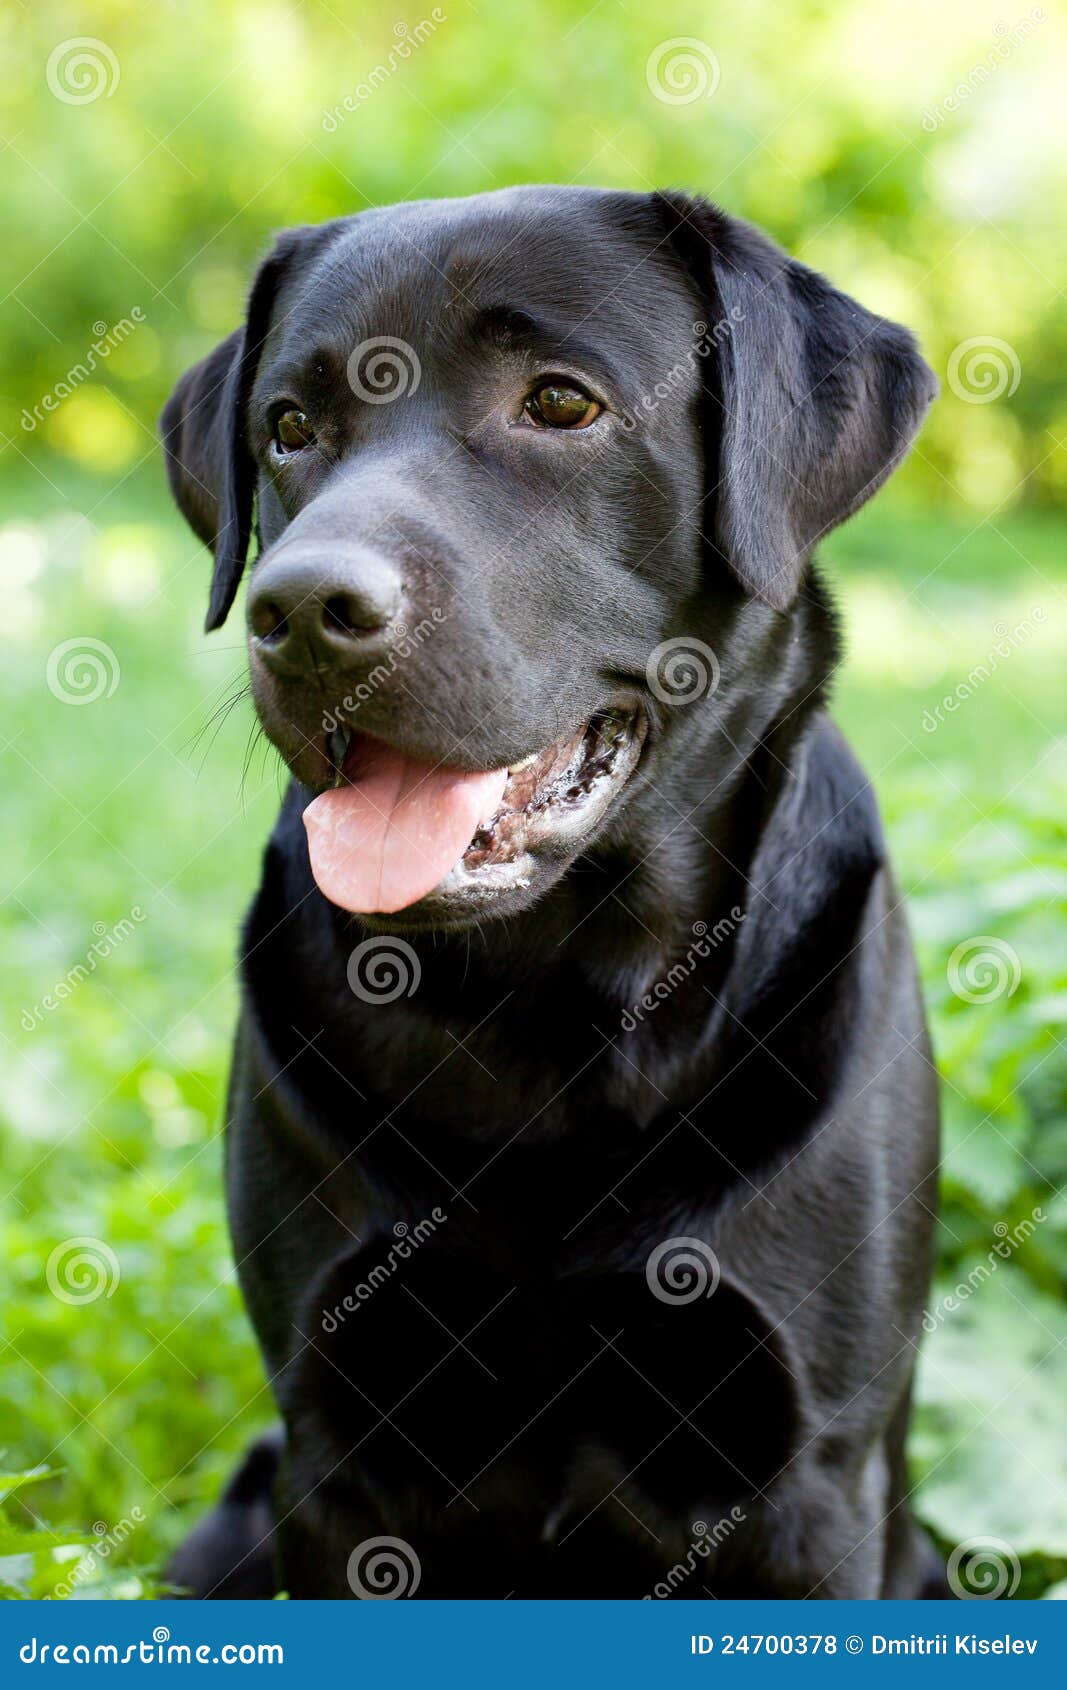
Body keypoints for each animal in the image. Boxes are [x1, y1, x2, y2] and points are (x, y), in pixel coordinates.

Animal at [160, 188, 940, 1595]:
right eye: (289, 428)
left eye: (561, 403)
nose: (301, 608)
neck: (547, 1014)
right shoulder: (329, 1448)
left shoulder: (809, 1477)